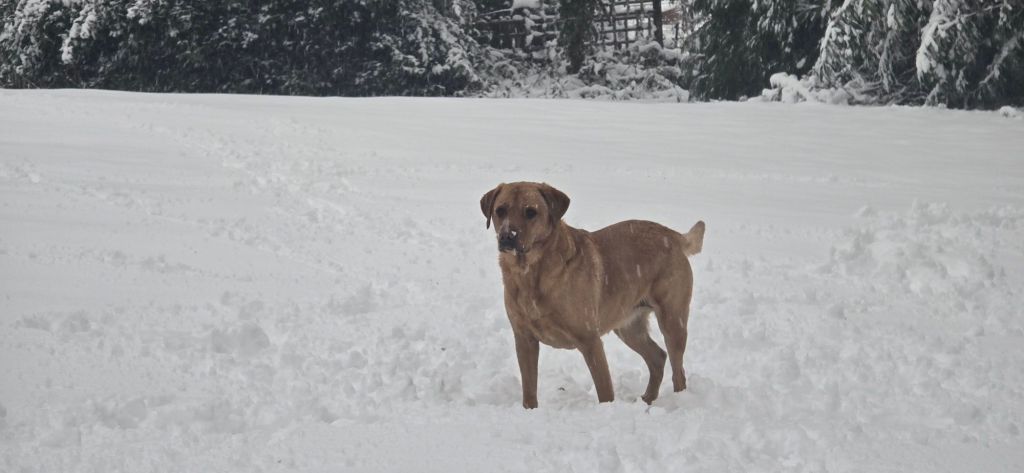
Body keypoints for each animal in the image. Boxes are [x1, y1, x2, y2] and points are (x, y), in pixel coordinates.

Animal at [480, 182, 704, 408]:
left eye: (530, 212)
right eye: (500, 210)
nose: (507, 237)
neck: (531, 274)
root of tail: (673, 235)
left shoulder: (589, 340)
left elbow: (605, 390)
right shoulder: (524, 339)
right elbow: (529, 390)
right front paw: (530, 411)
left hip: (672, 321)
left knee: (678, 372)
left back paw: (679, 401)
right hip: (629, 327)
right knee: (658, 357)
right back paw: (646, 400)